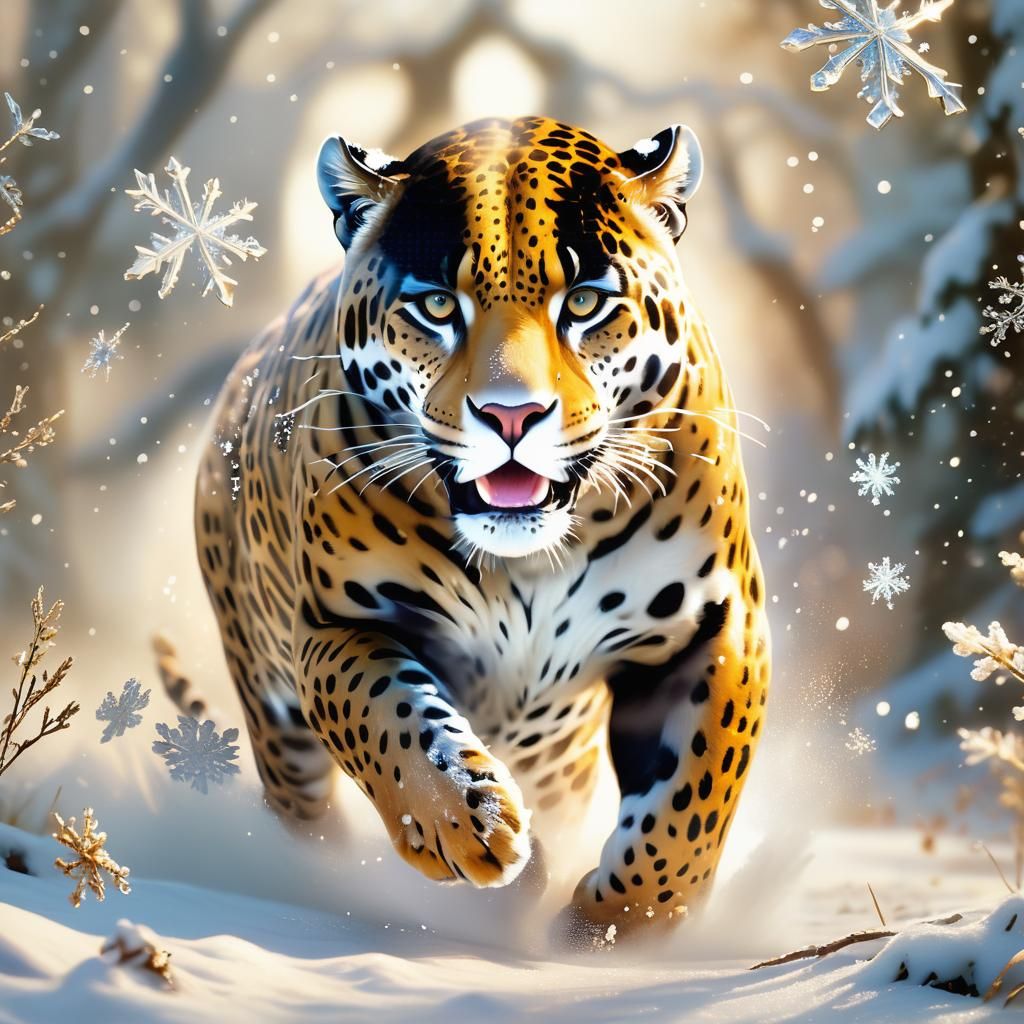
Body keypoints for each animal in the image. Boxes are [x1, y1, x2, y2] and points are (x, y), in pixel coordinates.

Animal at [192, 115, 770, 944]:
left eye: (585, 302)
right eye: (438, 307)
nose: (511, 416)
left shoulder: (716, 624)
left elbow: (696, 791)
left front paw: (619, 926)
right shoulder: (337, 625)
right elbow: (392, 715)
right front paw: (471, 829)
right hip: (272, 706)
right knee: (302, 809)